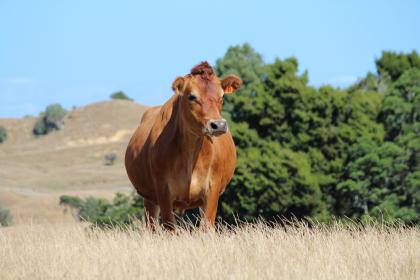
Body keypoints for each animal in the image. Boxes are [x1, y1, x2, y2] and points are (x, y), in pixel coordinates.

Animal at [124, 62, 241, 231]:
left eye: (222, 96)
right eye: (192, 96)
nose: (218, 125)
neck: (191, 153)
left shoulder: (212, 190)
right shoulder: (163, 191)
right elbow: (170, 228)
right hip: (149, 199)